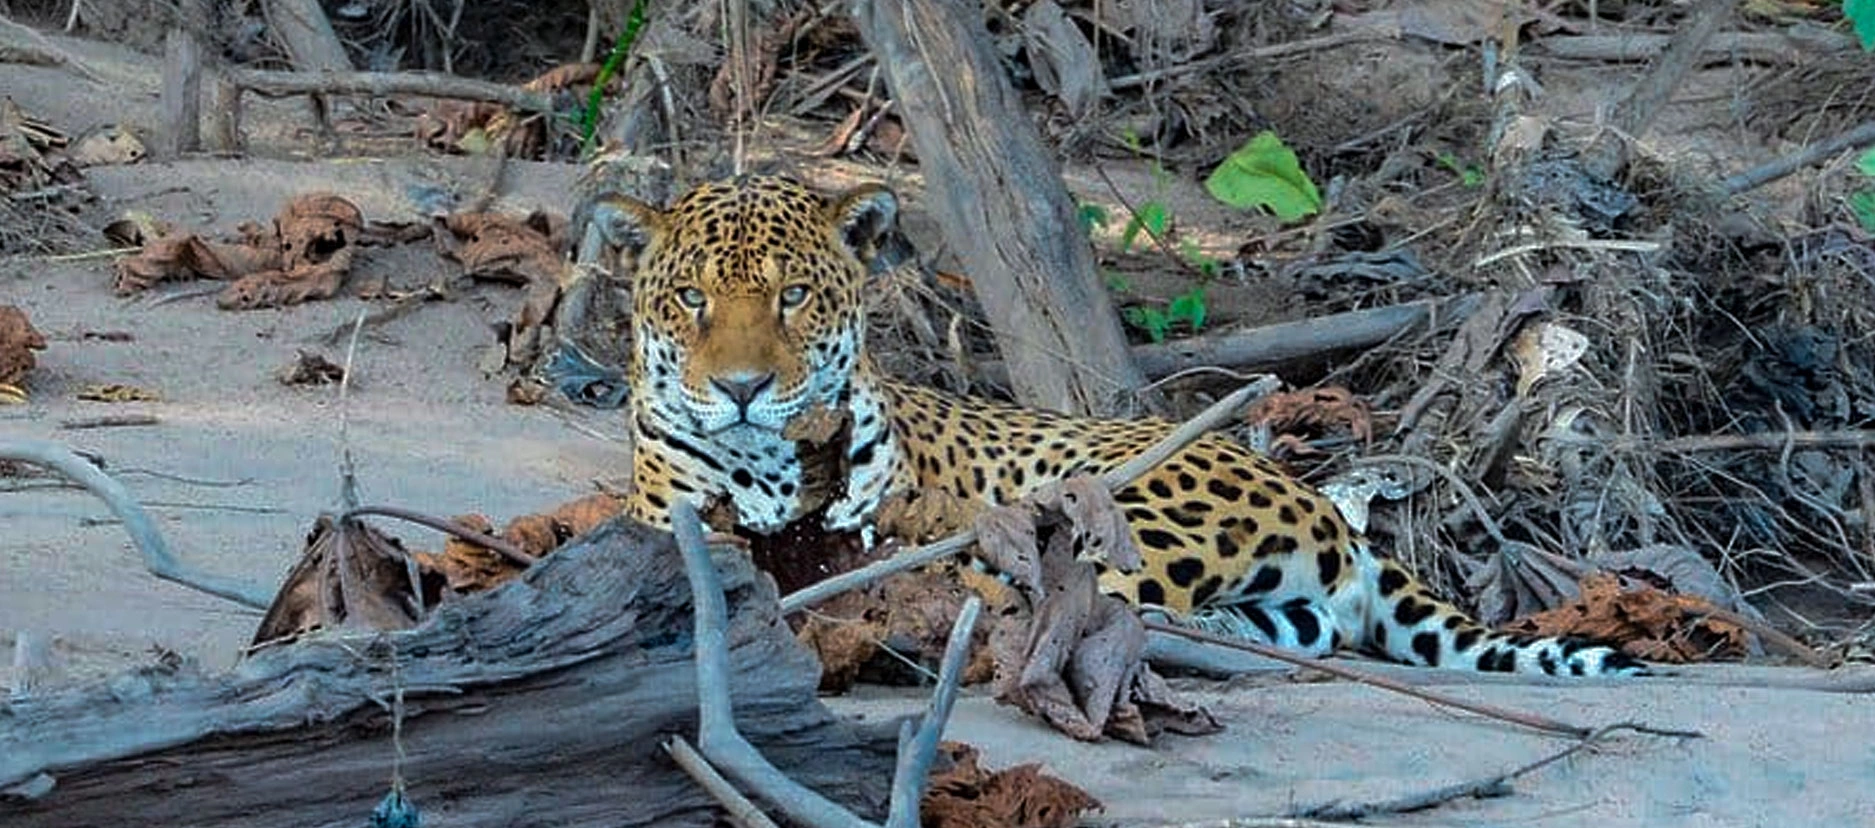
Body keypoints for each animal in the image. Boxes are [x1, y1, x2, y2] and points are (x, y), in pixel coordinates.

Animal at [586, 174, 1645, 677]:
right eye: (689, 299)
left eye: (795, 296)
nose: (742, 388)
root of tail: (1320, 502)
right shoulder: (667, 521)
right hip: (1272, 590)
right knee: (1289, 627)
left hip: (1135, 500)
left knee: (1103, 592)